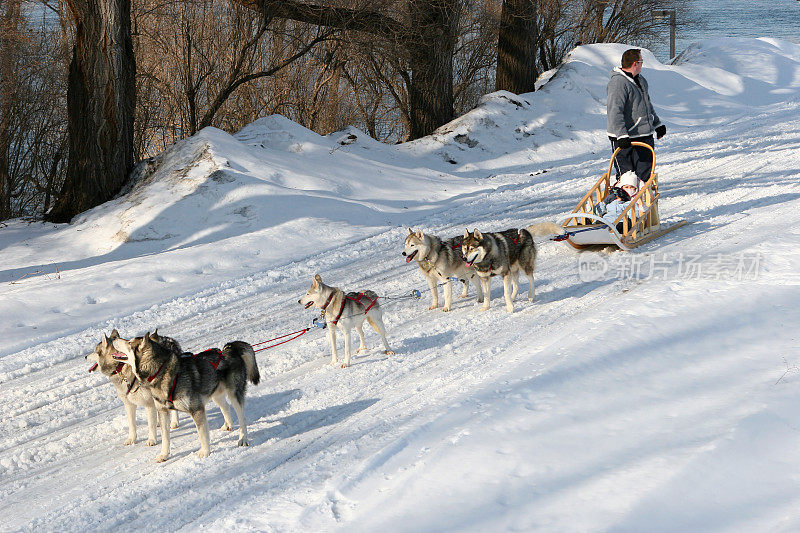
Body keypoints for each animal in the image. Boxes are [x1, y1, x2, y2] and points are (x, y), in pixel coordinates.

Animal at [109, 332, 258, 462]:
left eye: (129, 342)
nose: (114, 338)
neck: (161, 371)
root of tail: (229, 349)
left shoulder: (197, 410)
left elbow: (202, 434)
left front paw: (205, 452)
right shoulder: (163, 412)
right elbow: (165, 437)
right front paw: (164, 454)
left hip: (234, 395)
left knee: (242, 418)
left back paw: (243, 439)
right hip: (215, 394)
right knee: (225, 406)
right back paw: (227, 425)